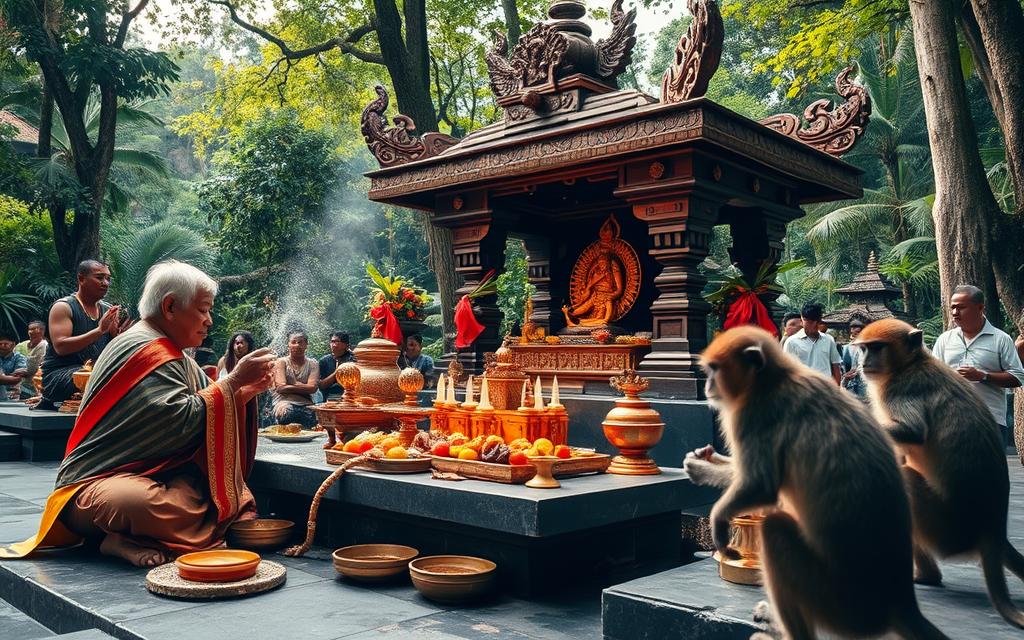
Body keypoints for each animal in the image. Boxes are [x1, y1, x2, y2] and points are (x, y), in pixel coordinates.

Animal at [684, 327, 946, 638]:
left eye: (714, 369)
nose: (709, 386)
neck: (773, 379)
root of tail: (900, 602)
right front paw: (705, 459)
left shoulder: (755, 414)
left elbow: (761, 485)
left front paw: (707, 488)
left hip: (839, 607)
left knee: (774, 530)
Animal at [856, 317, 1024, 626]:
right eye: (863, 349)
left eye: (876, 348)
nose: (863, 363)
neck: (912, 363)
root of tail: (992, 528)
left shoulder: (901, 388)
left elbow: (913, 432)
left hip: (946, 528)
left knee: (905, 481)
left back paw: (925, 576)